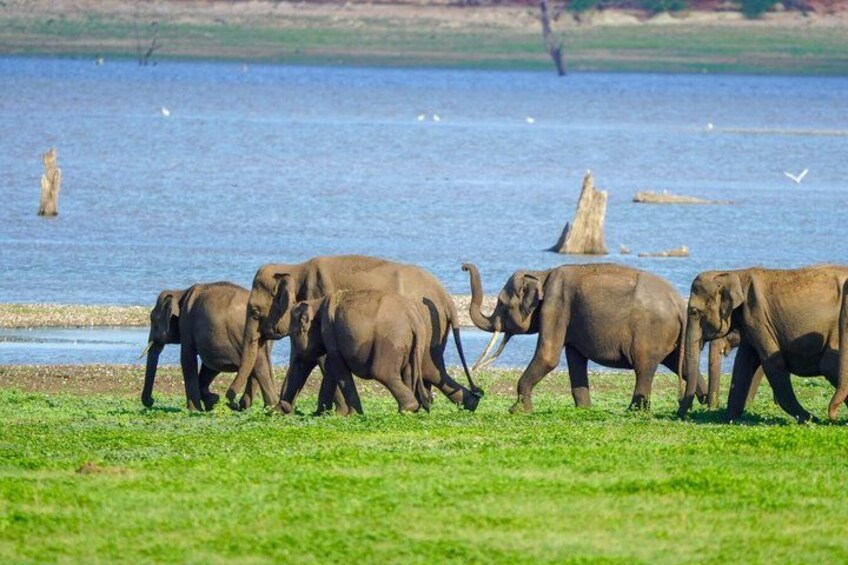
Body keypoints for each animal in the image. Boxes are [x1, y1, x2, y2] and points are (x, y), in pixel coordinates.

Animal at [141, 282, 276, 411]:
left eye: (153, 320)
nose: (151, 401)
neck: (180, 292)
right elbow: (210, 367)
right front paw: (212, 401)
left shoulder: (186, 324)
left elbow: (187, 360)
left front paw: (195, 410)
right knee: (259, 365)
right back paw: (255, 407)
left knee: (257, 365)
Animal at [279, 287, 430, 414]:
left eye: (292, 335)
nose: (284, 408)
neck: (317, 302)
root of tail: (413, 317)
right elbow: (330, 368)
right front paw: (321, 415)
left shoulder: (330, 332)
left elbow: (338, 368)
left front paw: (354, 415)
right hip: (411, 346)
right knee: (408, 373)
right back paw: (410, 410)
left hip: (390, 342)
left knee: (382, 373)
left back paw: (408, 408)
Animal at [463, 262, 708, 413]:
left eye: (501, 303)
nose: (464, 266)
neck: (543, 273)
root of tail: (678, 303)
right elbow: (575, 359)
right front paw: (584, 409)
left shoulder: (555, 305)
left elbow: (548, 357)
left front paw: (517, 410)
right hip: (675, 337)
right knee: (684, 367)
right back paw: (705, 404)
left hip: (649, 332)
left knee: (644, 368)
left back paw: (633, 411)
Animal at [679, 265, 848, 423]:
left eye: (693, 311)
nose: (679, 414)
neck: (735, 273)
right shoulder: (749, 323)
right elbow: (743, 363)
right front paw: (729, 420)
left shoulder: (758, 317)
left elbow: (772, 362)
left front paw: (811, 420)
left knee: (828, 364)